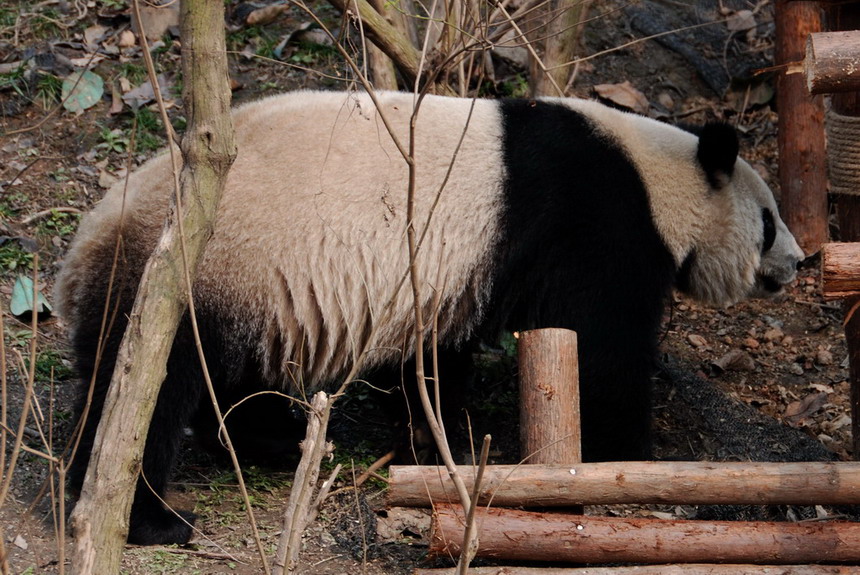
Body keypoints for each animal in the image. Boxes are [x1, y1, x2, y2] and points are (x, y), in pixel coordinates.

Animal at [55, 90, 808, 544]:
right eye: (770, 220)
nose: (799, 263)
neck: (654, 175)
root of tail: (91, 235)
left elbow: (436, 357)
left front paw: (438, 438)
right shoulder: (591, 225)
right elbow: (602, 351)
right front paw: (633, 456)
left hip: (247, 285)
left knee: (234, 379)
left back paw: (278, 440)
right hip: (191, 271)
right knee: (145, 392)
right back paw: (144, 517)